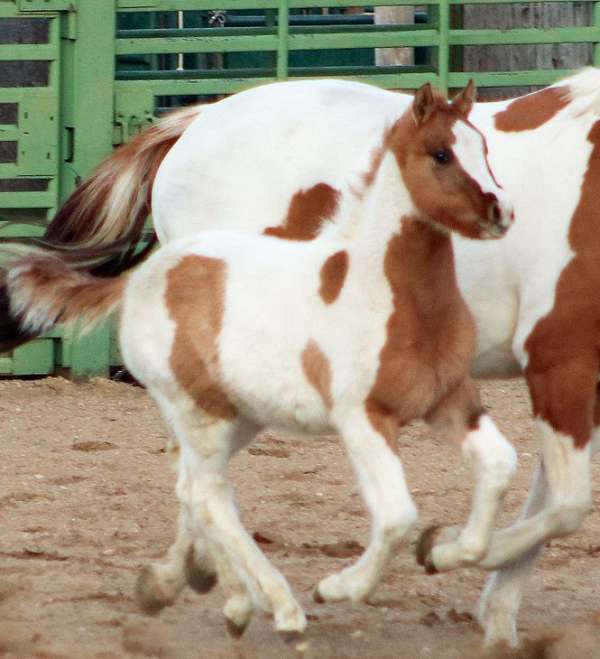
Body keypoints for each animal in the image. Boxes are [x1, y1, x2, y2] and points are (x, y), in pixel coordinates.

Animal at [1, 69, 600, 648]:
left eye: (485, 149)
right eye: (440, 155)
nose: (502, 211)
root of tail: (196, 120)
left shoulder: (476, 394)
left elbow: (529, 486)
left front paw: (486, 602)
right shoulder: (550, 364)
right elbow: (554, 505)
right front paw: (422, 560)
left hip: (245, 406)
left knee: (198, 481)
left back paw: (203, 585)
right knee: (201, 484)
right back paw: (259, 599)